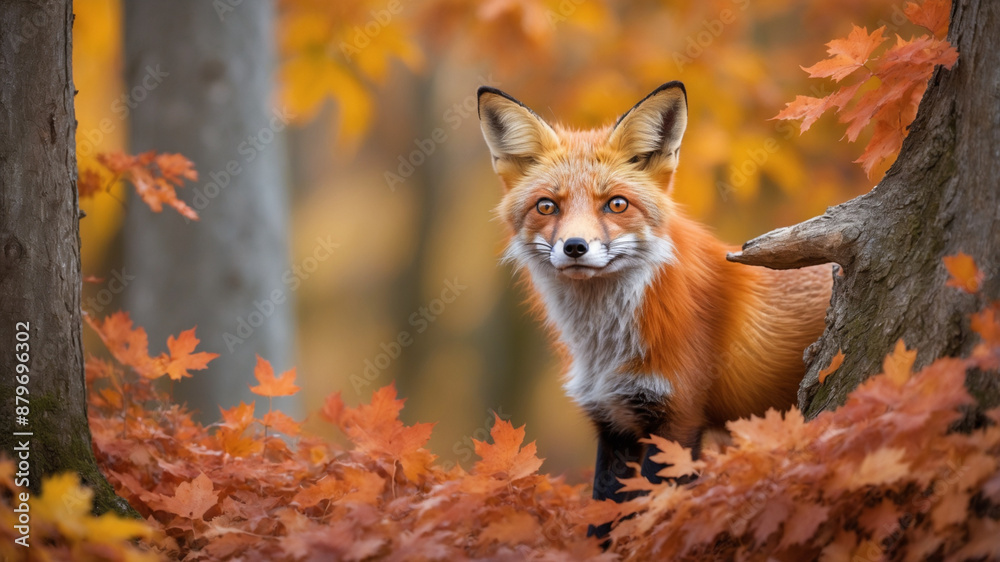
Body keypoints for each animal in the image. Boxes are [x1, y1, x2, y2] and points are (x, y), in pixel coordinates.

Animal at [477, 82, 833, 522]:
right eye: (547, 206)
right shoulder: (613, 422)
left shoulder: (678, 419)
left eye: (616, 204)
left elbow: (652, 514)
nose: (575, 247)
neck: (606, 346)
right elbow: (605, 516)